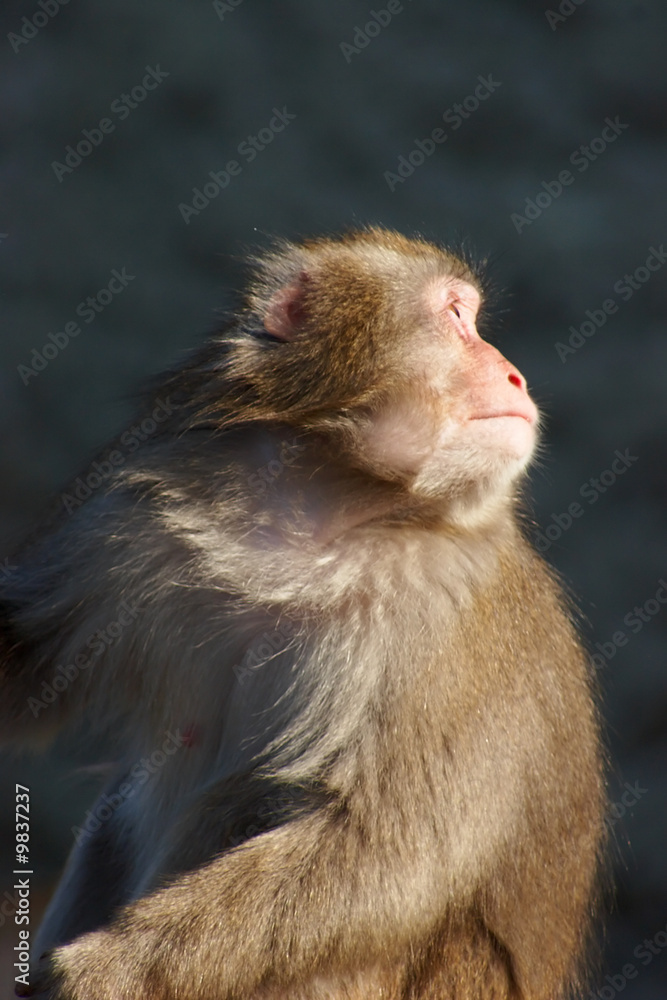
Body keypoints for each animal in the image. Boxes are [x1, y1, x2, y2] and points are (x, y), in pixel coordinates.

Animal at [1, 226, 606, 1000]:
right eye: (455, 317)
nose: (515, 377)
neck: (322, 513)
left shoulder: (444, 616)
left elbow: (382, 852)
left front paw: (101, 969)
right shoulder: (134, 498)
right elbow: (26, 663)